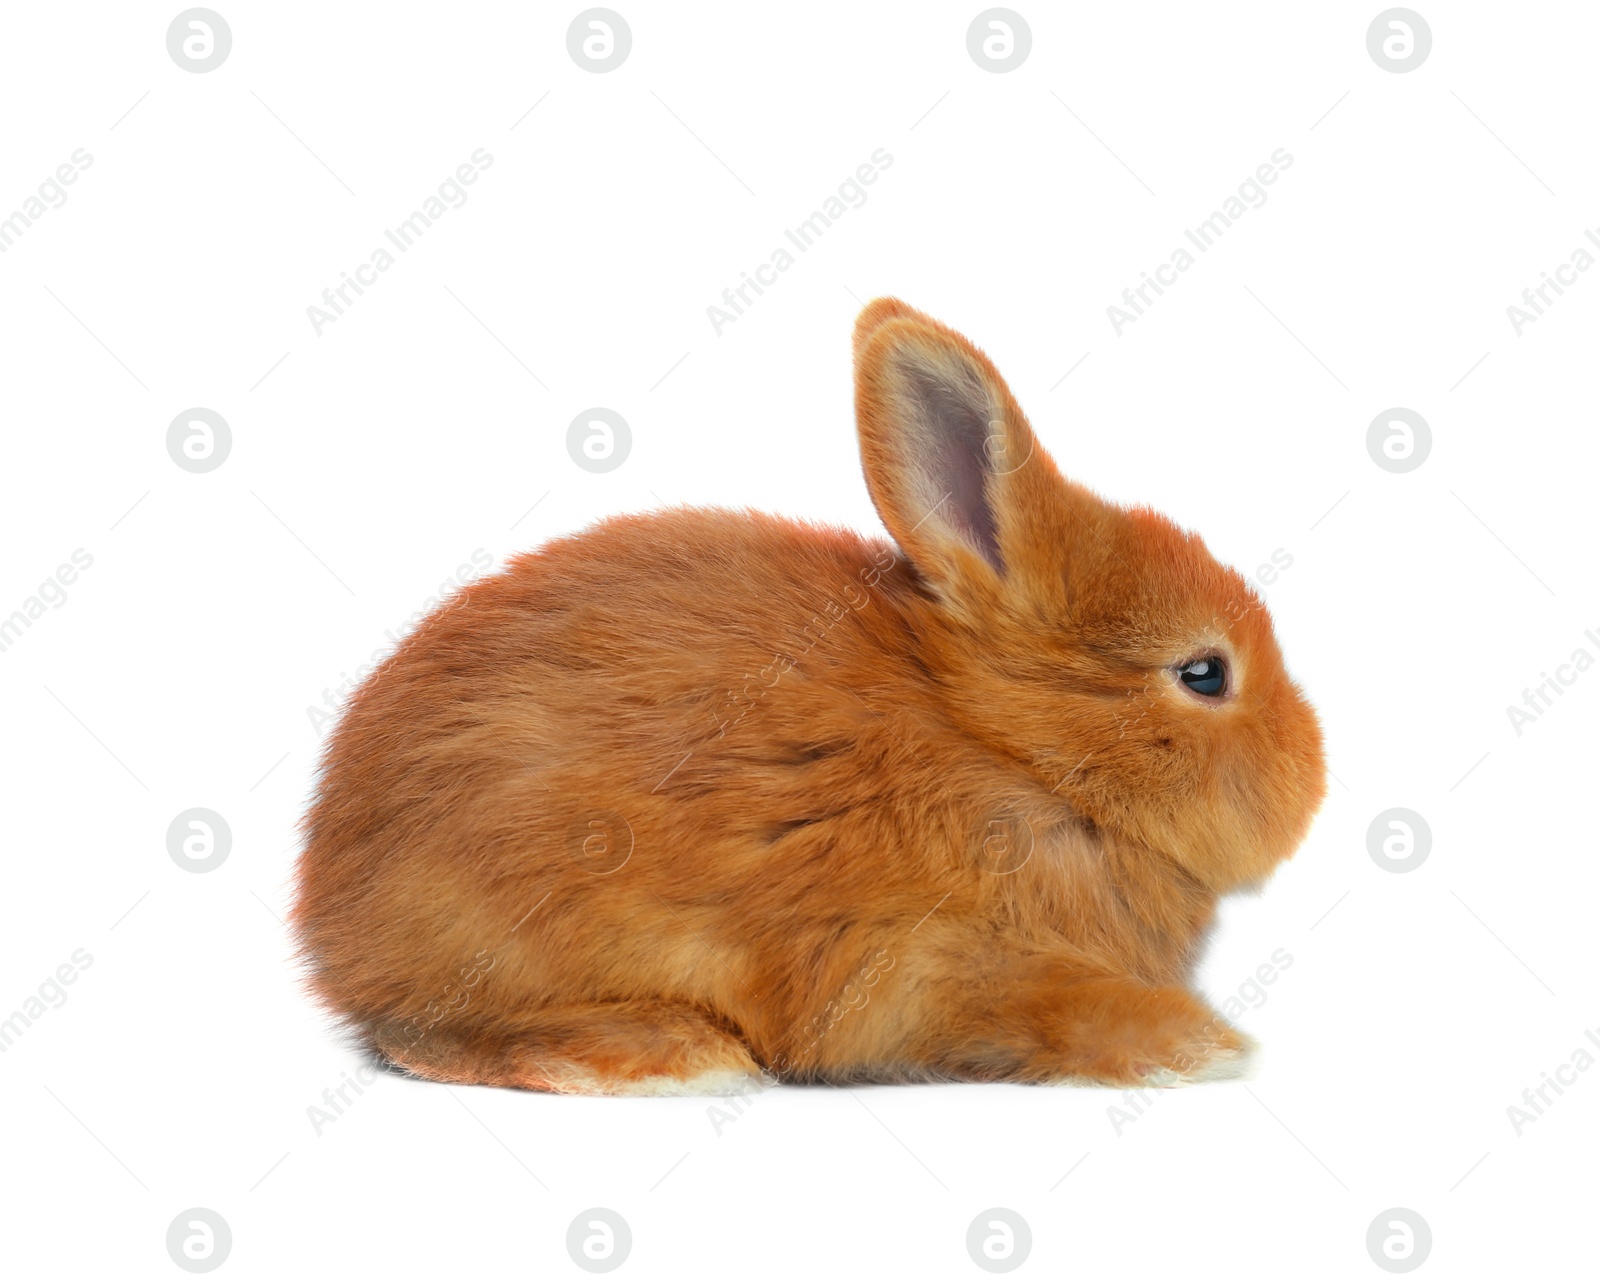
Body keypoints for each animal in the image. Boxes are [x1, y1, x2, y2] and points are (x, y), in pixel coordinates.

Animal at [288, 297, 1324, 1087]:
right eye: (1204, 672)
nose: (1311, 778)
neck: (1010, 753)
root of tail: (327, 923)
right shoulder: (919, 962)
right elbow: (1055, 1009)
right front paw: (1202, 1047)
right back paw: (672, 1054)